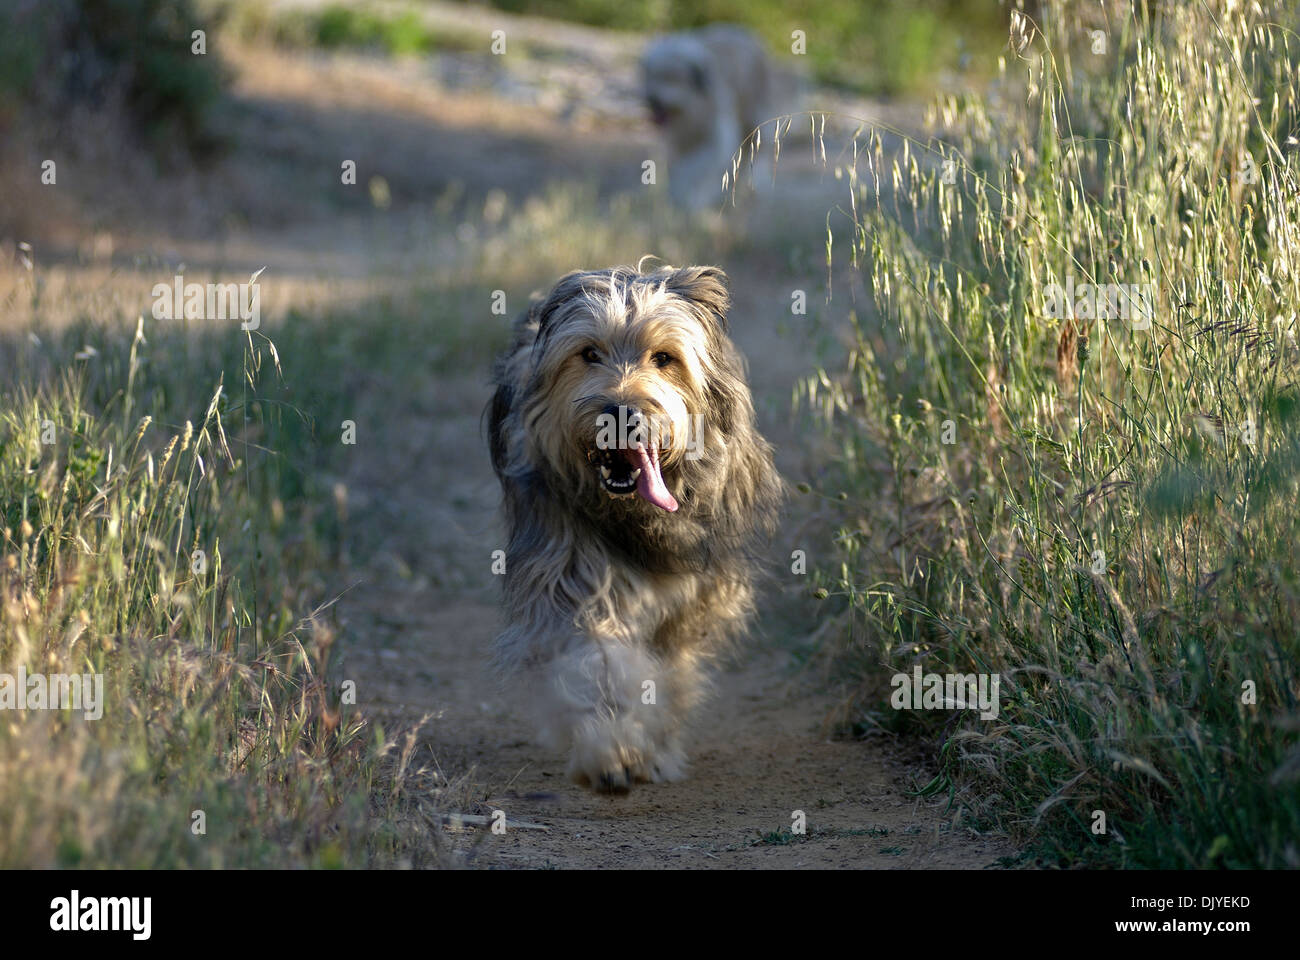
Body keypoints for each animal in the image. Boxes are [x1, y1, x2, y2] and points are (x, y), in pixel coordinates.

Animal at [488, 264, 780, 790]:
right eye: (589, 353)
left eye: (664, 358)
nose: (621, 413)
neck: (634, 515)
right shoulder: (567, 568)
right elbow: (595, 656)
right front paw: (610, 749)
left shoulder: (694, 596)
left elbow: (672, 672)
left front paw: (656, 747)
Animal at [642, 25, 780, 209]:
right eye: (651, 76)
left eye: (672, 78)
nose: (651, 99)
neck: (693, 108)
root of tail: (747, 34)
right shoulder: (680, 141)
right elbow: (680, 167)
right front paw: (677, 195)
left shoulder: (716, 137)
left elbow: (699, 166)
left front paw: (694, 199)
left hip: (755, 117)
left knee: (758, 151)